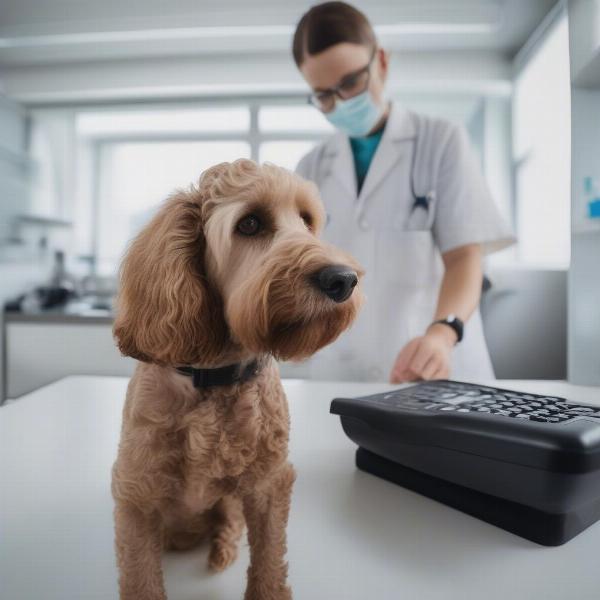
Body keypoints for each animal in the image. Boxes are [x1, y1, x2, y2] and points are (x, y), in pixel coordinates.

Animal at [110, 159, 364, 600]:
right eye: (250, 223)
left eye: (307, 220)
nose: (343, 279)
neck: (213, 379)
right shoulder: (137, 495)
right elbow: (140, 575)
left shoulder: (268, 486)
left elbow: (269, 558)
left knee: (229, 521)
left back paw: (221, 549)